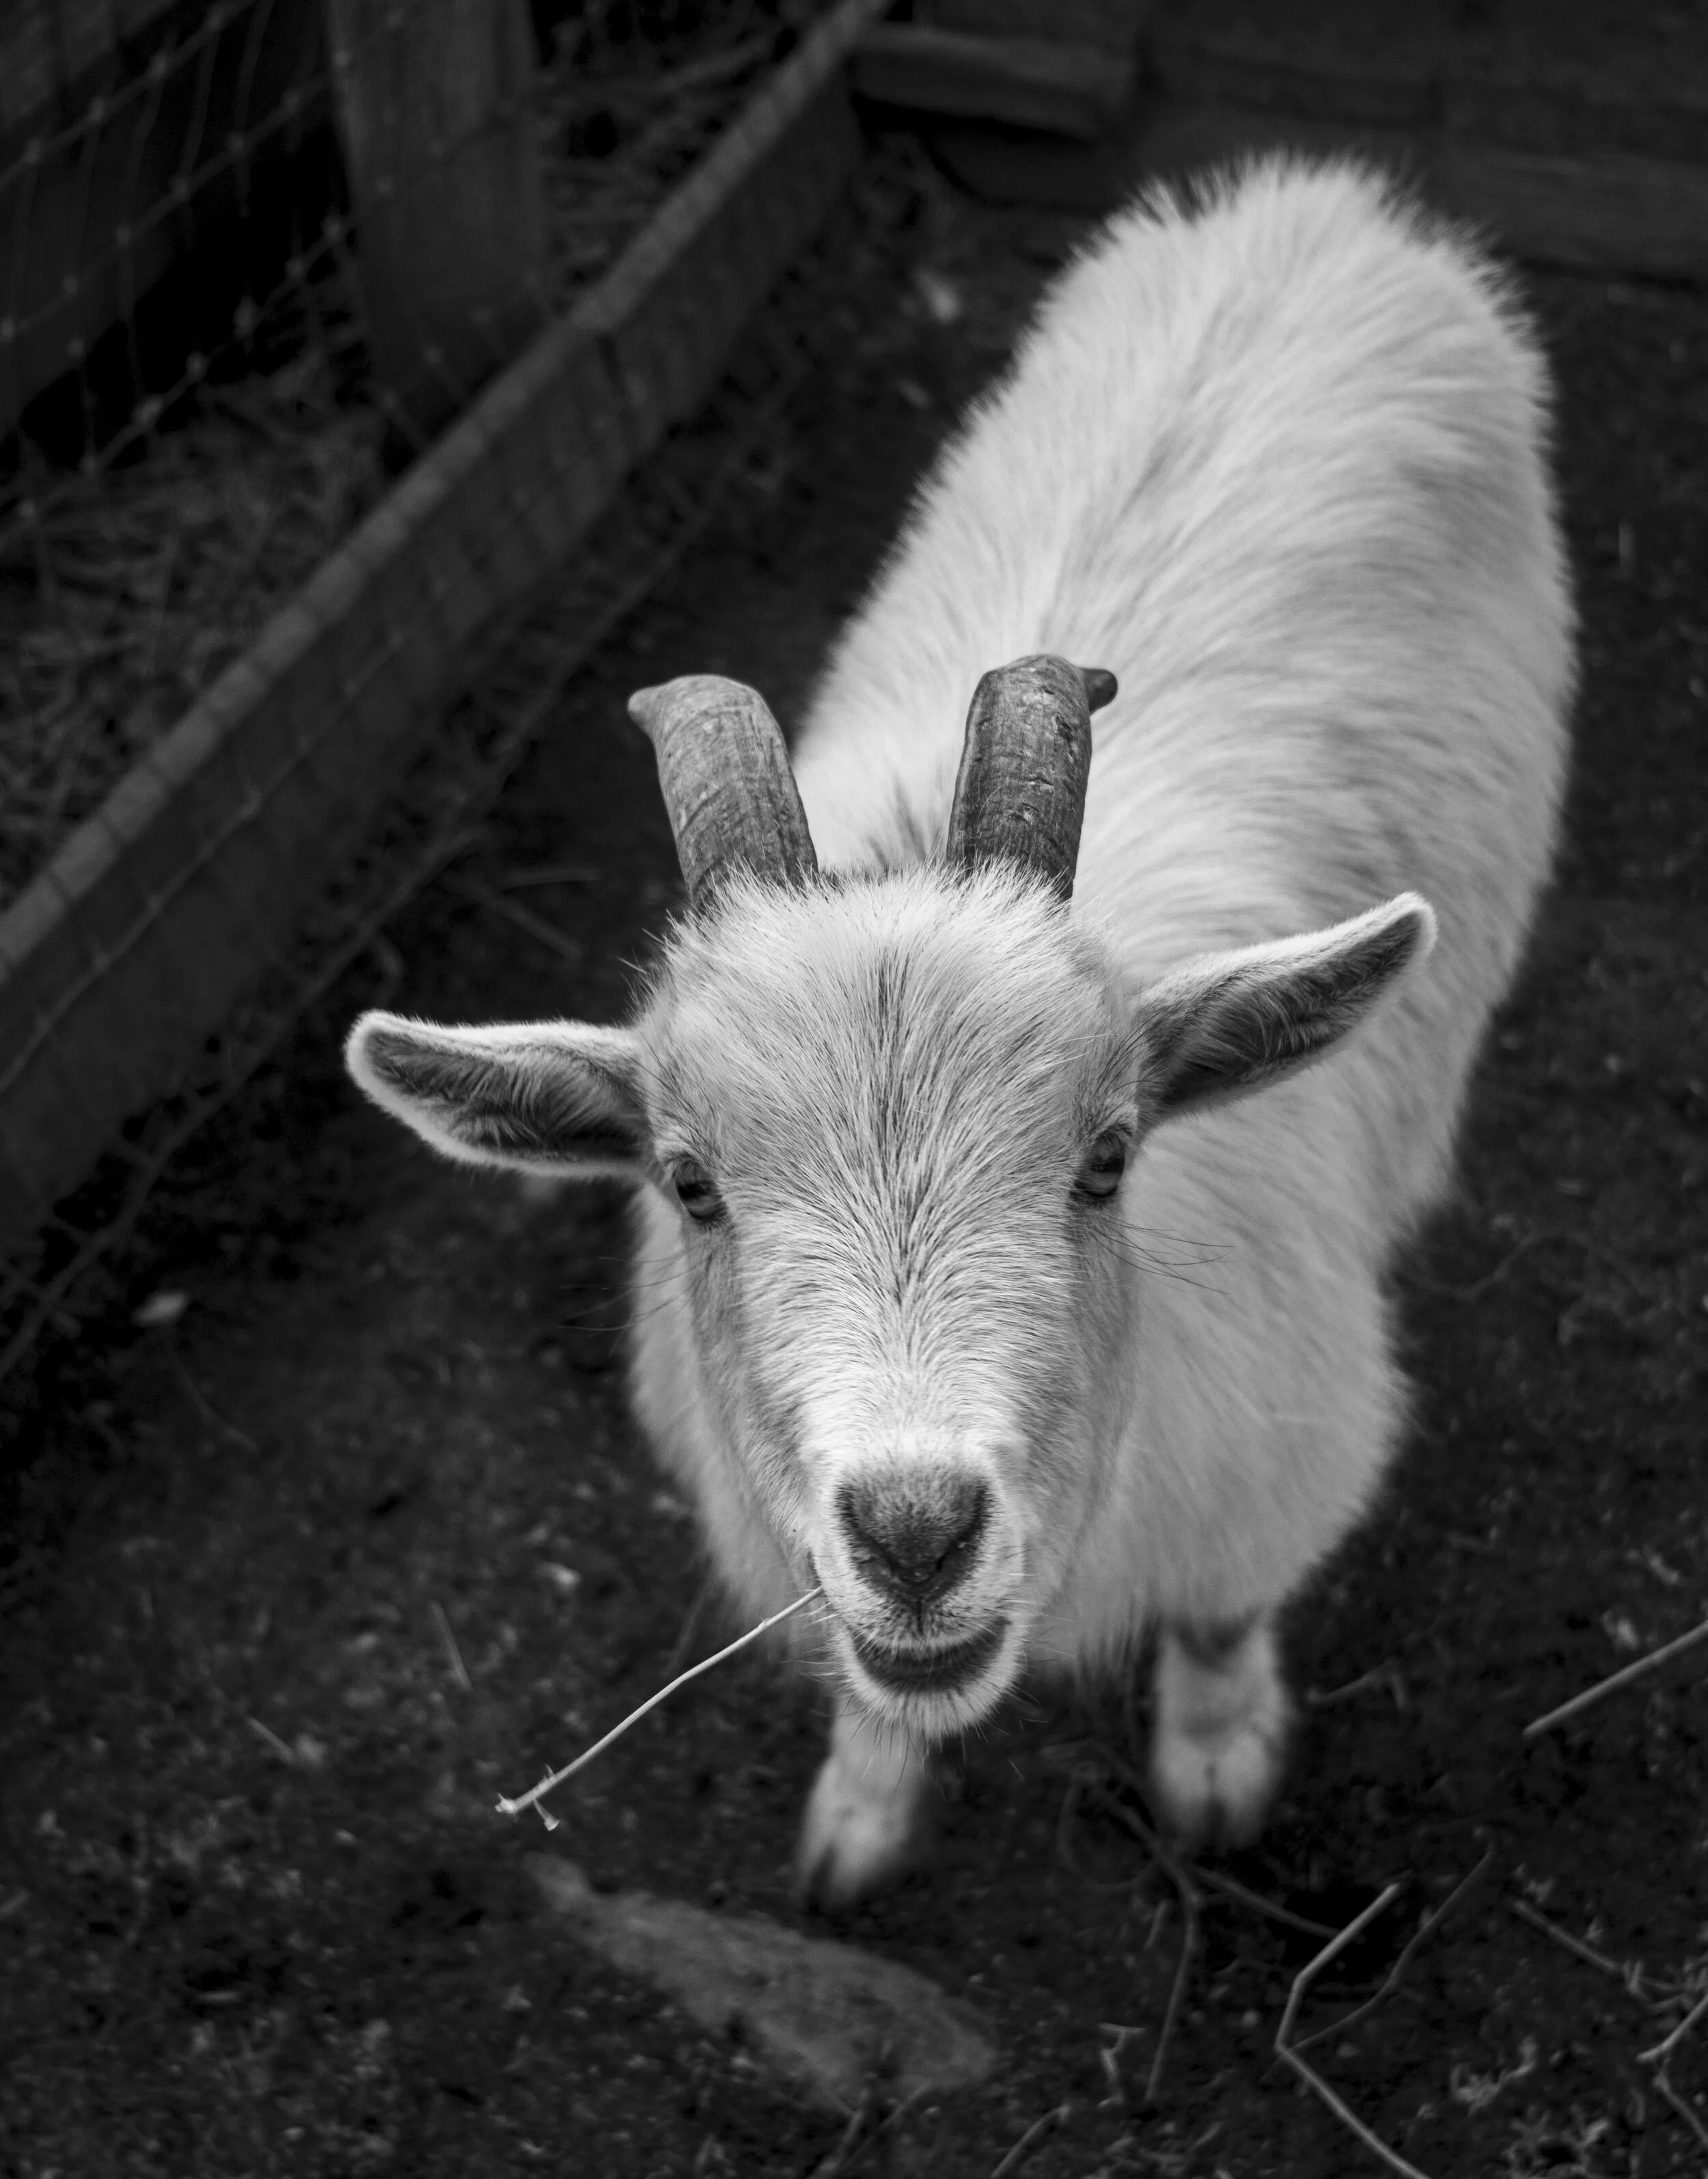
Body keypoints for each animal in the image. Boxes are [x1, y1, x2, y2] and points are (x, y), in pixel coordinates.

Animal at [345, 159, 1572, 1907]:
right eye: (688, 1182)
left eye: (1107, 1158)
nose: (914, 1530)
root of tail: (1314, 203)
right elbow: (873, 1698)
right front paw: (857, 1818)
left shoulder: (1272, 1464)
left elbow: (1217, 1622)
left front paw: (1216, 1766)